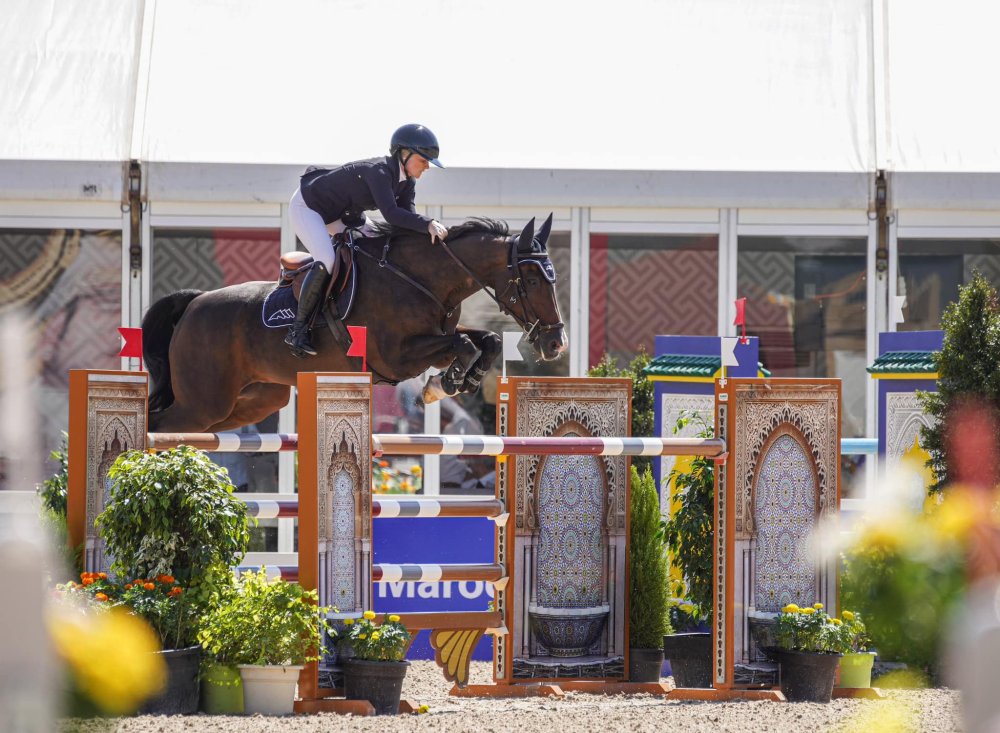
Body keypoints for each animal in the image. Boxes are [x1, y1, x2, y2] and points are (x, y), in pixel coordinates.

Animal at [141, 214, 568, 432]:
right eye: (532, 280)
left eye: (553, 278)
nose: (555, 344)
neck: (420, 278)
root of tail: (195, 302)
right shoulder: (397, 356)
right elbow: (463, 346)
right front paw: (442, 385)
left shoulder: (437, 336)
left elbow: (487, 340)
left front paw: (458, 381)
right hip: (204, 403)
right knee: (160, 425)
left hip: (253, 401)